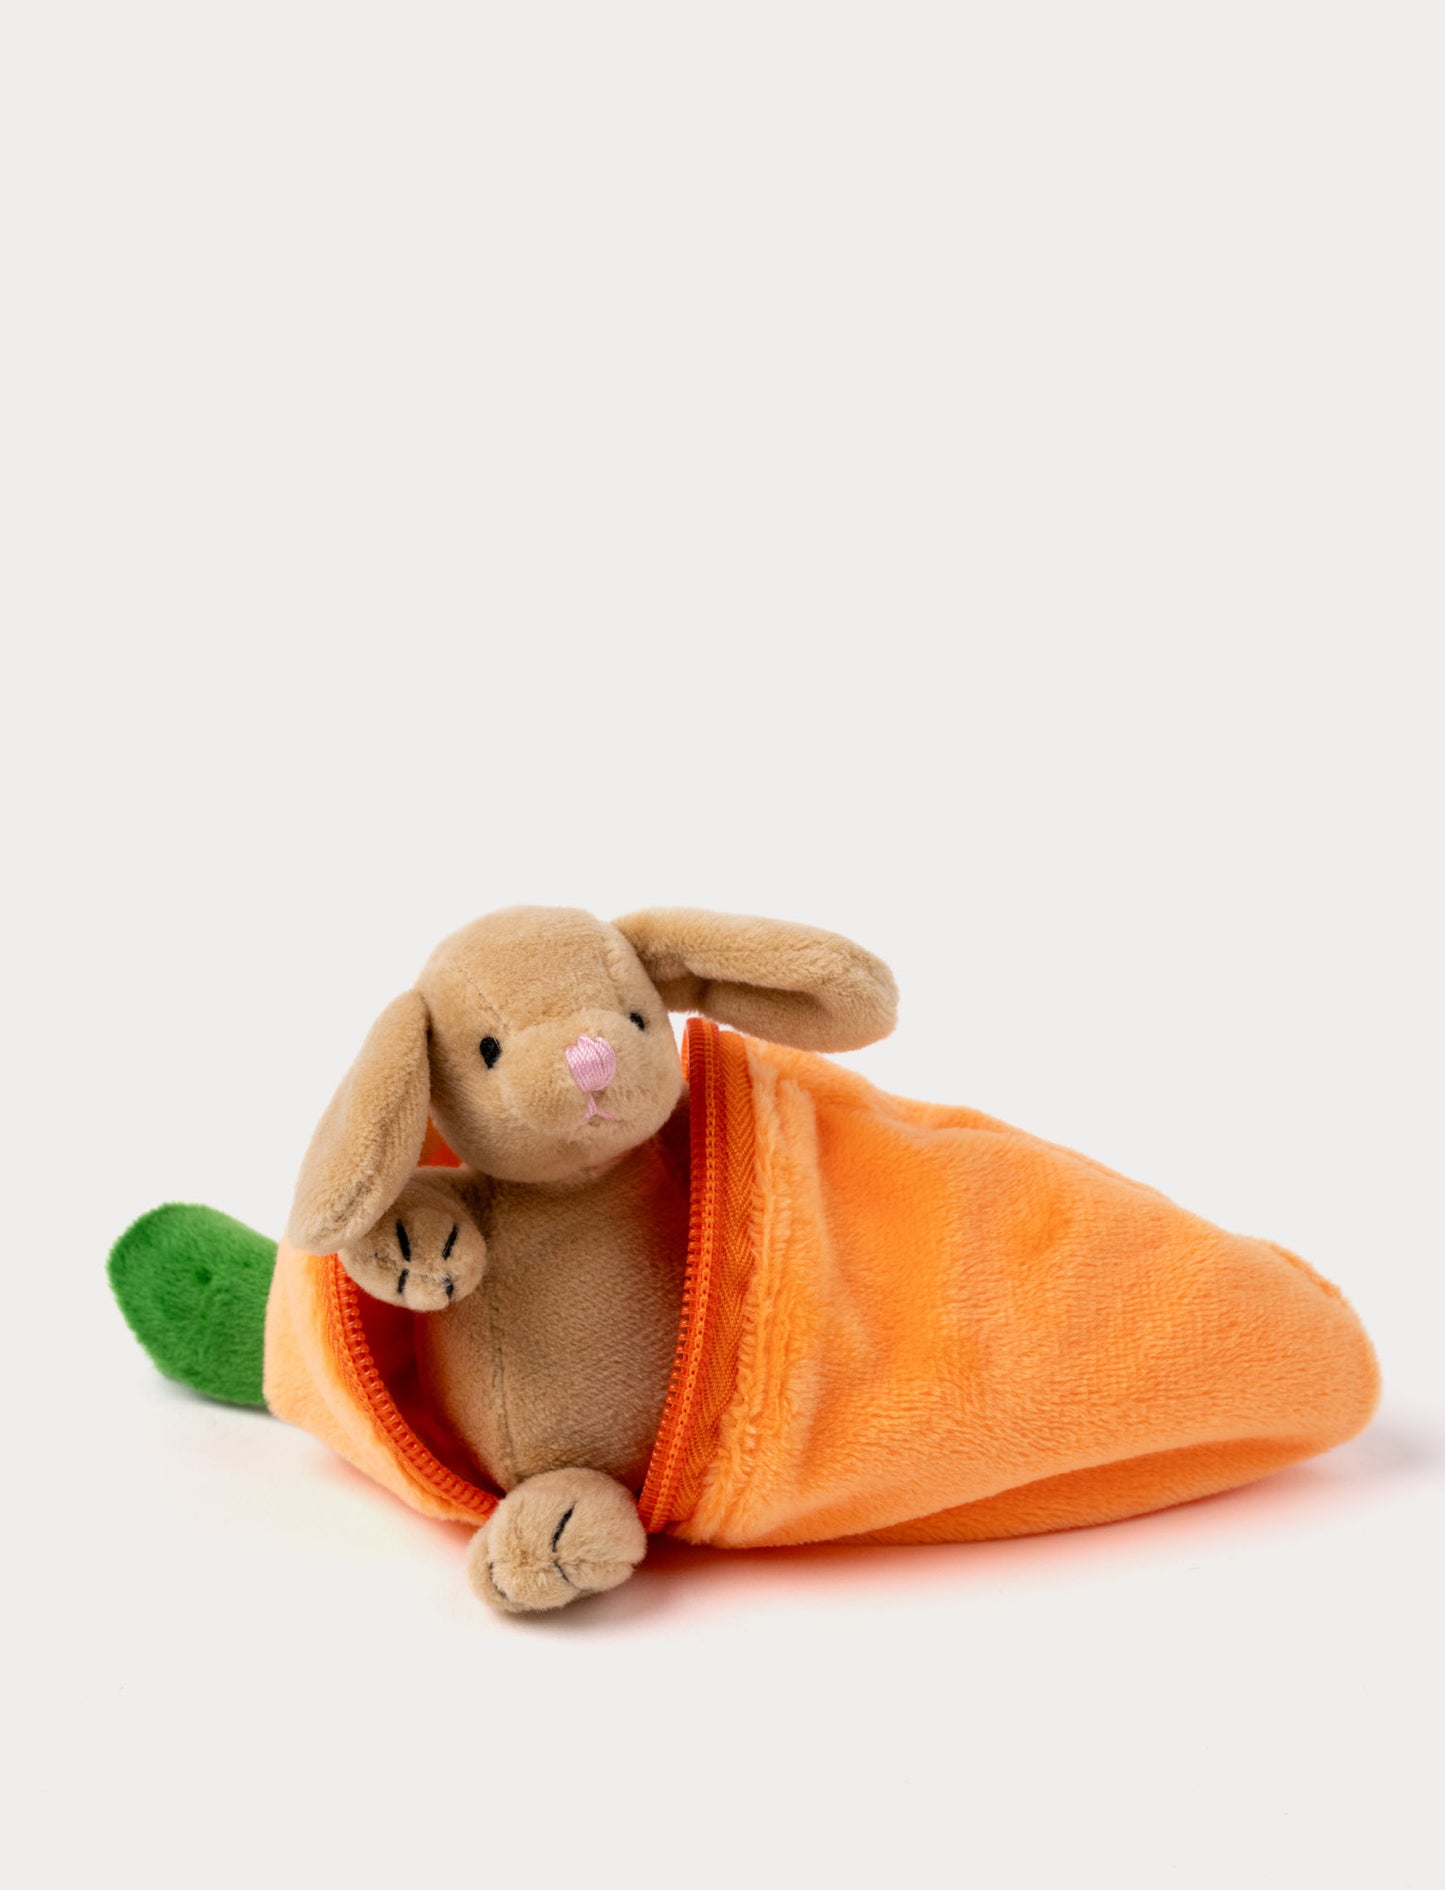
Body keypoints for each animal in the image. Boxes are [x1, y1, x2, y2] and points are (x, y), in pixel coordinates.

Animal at [285, 906, 899, 1613]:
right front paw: (417, 1246)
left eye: (638, 1016)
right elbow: (430, 1199)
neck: (575, 1183)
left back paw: (554, 1540)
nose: (590, 1058)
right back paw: (548, 1538)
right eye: (487, 1048)